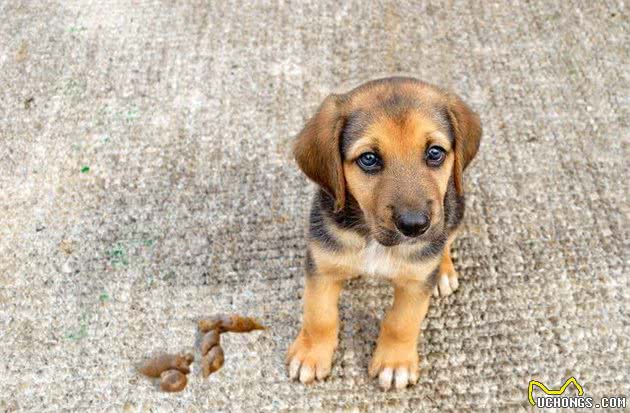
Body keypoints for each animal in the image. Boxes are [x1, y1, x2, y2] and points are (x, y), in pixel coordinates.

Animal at [288, 77, 484, 390]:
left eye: (435, 153)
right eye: (368, 159)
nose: (415, 226)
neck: (372, 239)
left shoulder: (415, 283)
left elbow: (401, 322)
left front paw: (395, 363)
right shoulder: (321, 266)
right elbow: (319, 315)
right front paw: (311, 354)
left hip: (456, 209)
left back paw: (443, 271)